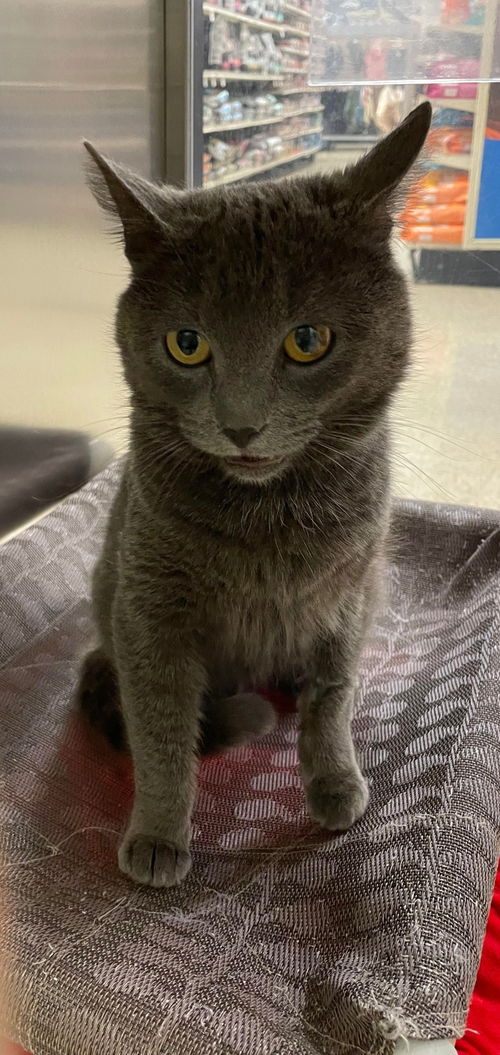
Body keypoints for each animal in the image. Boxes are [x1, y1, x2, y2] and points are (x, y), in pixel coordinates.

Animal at [78, 102, 430, 886]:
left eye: (307, 340)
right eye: (186, 344)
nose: (241, 426)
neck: (268, 518)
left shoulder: (349, 592)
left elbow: (333, 698)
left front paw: (335, 782)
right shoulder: (148, 609)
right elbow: (159, 730)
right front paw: (158, 835)